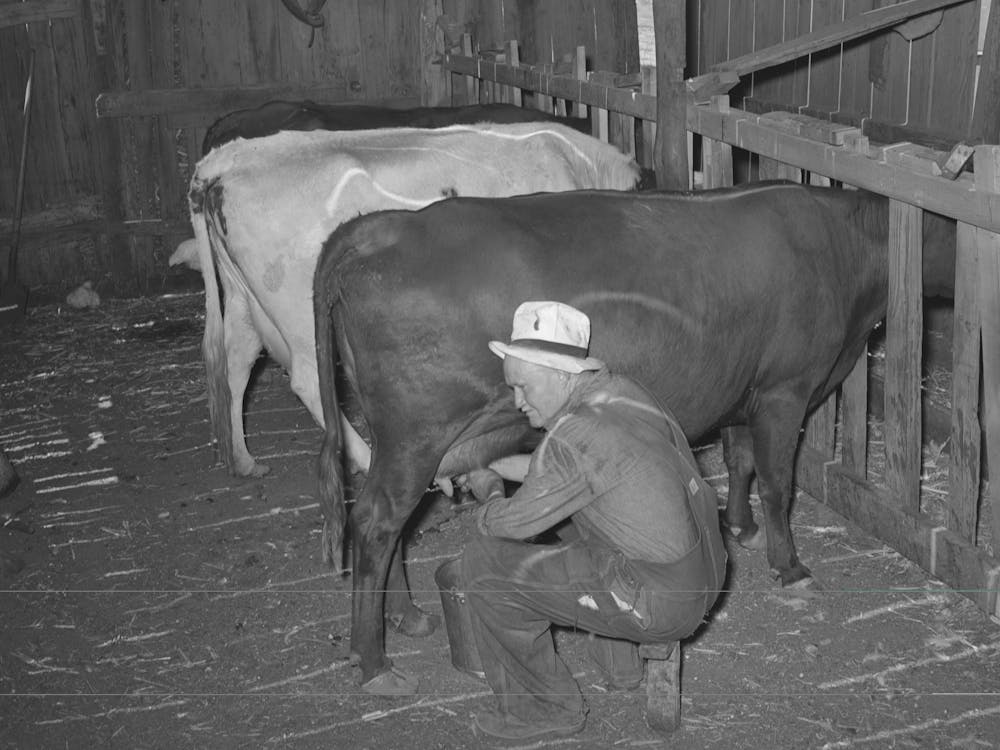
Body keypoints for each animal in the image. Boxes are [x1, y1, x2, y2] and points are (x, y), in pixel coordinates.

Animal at [182, 123, 640, 481]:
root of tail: (224, 161)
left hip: (241, 298)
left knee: (237, 363)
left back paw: (244, 460)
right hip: (296, 307)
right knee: (307, 379)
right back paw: (365, 458)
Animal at [312, 181, 956, 694]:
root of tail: (381, 226)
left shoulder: (742, 389)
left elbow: (741, 461)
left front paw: (739, 526)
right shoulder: (784, 390)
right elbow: (778, 482)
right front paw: (790, 567)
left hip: (401, 439)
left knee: (393, 523)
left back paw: (407, 616)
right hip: (416, 434)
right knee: (376, 522)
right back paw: (374, 661)